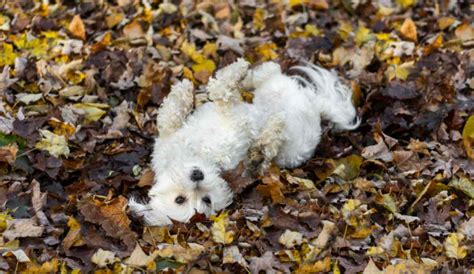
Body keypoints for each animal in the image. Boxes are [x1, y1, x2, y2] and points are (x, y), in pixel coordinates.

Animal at [130, 58, 360, 226]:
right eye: (181, 199)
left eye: (205, 199)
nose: (197, 176)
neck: (199, 154)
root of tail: (315, 107)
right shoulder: (236, 126)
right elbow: (219, 96)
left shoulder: (174, 135)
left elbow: (172, 115)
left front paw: (184, 91)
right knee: (272, 83)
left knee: (269, 72)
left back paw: (247, 77)